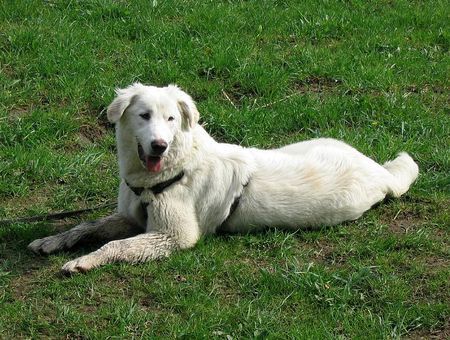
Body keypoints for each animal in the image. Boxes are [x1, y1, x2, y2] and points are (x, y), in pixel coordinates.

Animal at [29, 83, 418, 274]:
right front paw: (52, 241)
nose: (158, 145)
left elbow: (116, 246)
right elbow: (87, 226)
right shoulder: (130, 217)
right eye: (144, 115)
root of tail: (381, 173)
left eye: (171, 119)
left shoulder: (175, 235)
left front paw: (84, 261)